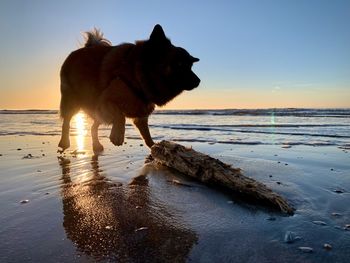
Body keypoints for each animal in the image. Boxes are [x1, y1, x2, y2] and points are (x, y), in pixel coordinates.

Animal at [57, 24, 200, 154]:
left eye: (190, 66)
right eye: (179, 64)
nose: (198, 81)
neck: (138, 75)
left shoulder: (141, 116)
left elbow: (147, 137)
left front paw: (155, 148)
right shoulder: (106, 101)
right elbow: (120, 116)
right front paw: (118, 135)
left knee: (93, 127)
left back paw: (96, 145)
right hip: (73, 101)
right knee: (66, 121)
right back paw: (64, 142)